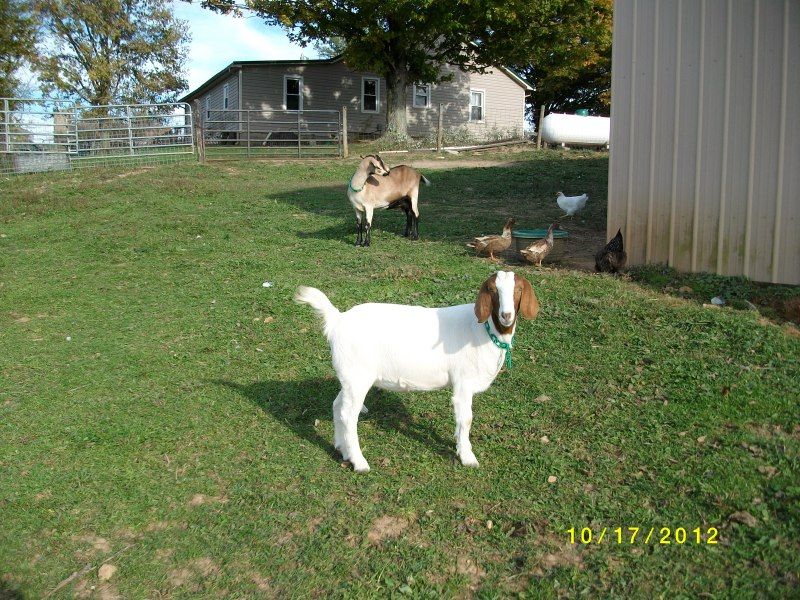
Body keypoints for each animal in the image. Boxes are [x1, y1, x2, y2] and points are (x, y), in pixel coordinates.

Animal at [295, 271, 539, 472]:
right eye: (492, 290)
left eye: (518, 289)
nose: (506, 315)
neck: (481, 330)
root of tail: (337, 320)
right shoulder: (463, 383)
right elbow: (466, 419)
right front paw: (467, 457)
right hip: (357, 377)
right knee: (348, 415)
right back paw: (359, 462)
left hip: (350, 376)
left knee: (338, 406)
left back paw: (341, 448)